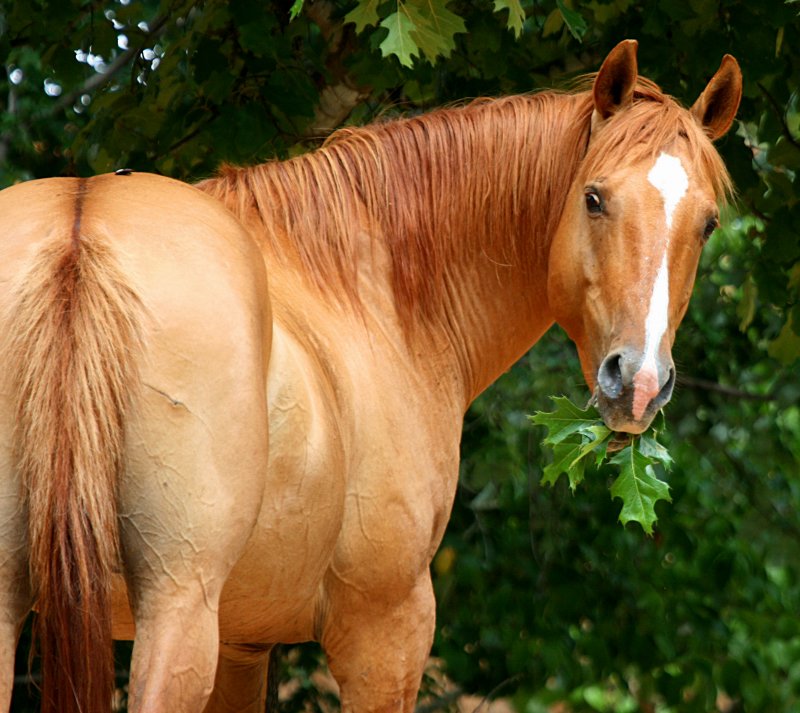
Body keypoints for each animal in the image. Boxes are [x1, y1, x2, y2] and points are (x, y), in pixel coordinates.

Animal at [0, 40, 740, 712]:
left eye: (707, 224)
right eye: (594, 197)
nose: (637, 382)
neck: (375, 293)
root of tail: (80, 228)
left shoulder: (243, 641)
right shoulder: (386, 629)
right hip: (177, 606)